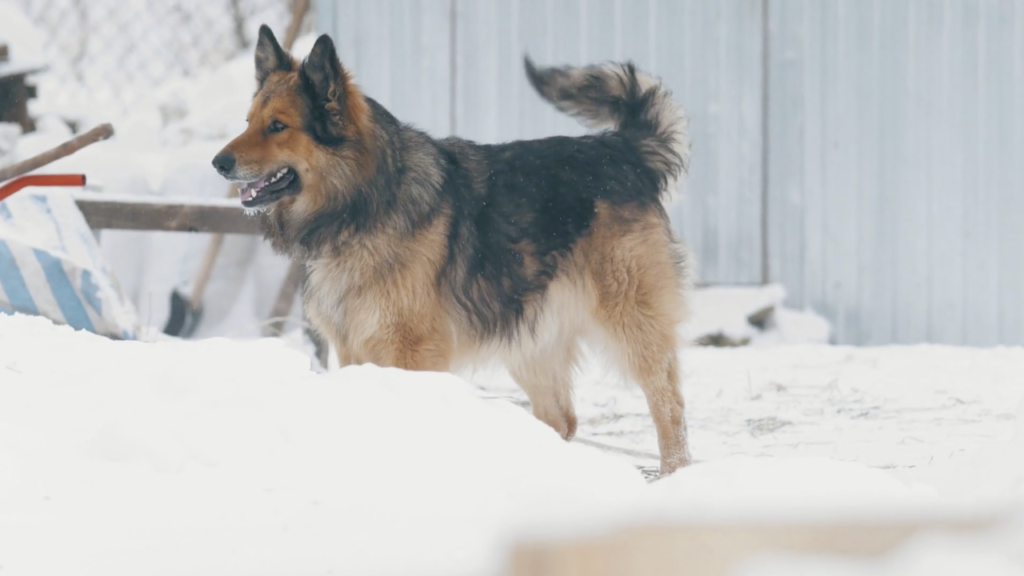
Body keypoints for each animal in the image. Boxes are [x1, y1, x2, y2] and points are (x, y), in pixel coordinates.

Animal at [215, 25, 696, 471]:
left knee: (669, 406)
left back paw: (674, 473)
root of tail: (622, 149)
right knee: (562, 419)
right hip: (532, 341)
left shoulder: (411, 351)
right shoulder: (354, 350)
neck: (365, 202)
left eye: (278, 126)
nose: (218, 163)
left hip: (631, 321)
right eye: (247, 122)